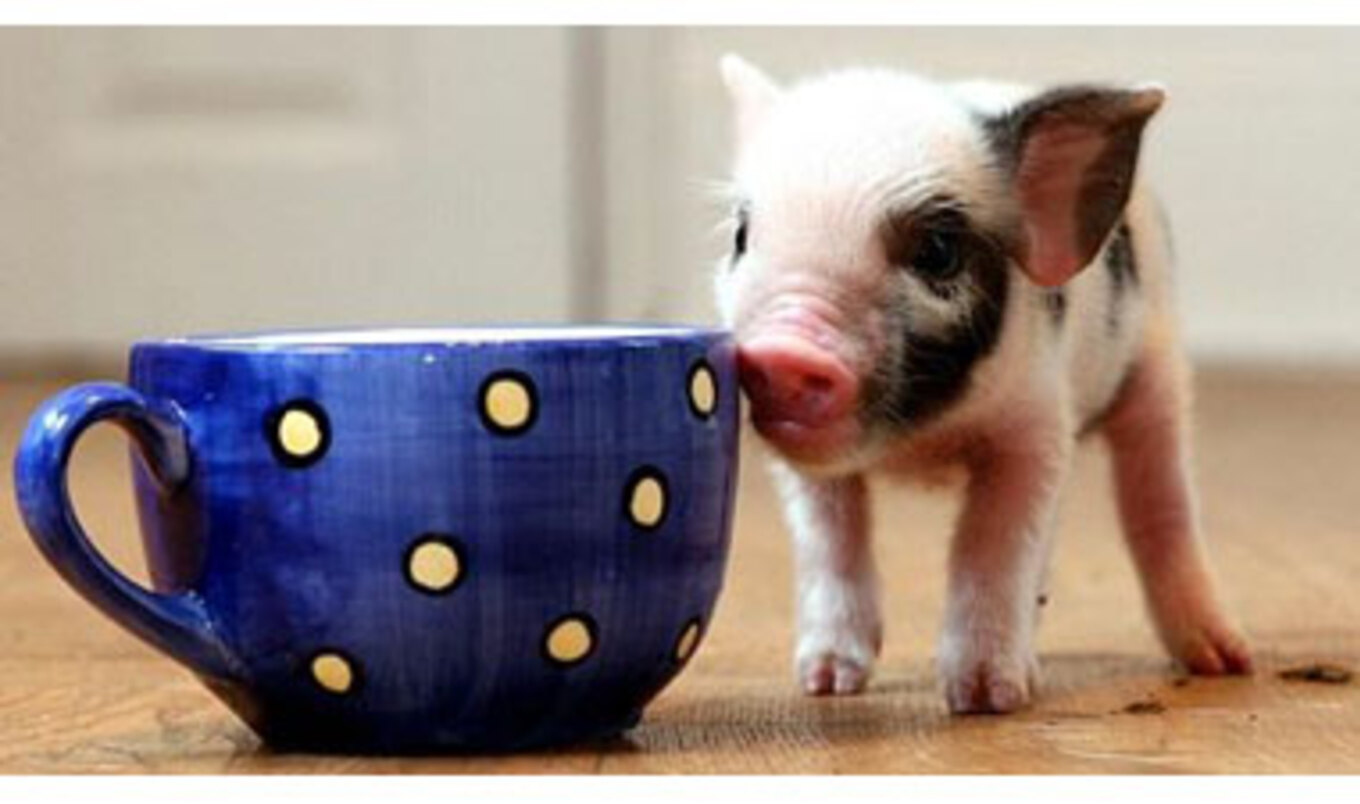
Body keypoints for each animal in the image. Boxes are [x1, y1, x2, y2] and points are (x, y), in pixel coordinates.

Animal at [713, 55, 1252, 713]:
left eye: (938, 252)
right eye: (742, 236)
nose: (783, 350)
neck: (921, 441)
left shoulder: (1036, 428)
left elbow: (992, 543)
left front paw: (984, 699)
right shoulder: (811, 472)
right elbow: (831, 541)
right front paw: (825, 683)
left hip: (1158, 369)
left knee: (1162, 504)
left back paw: (1224, 662)